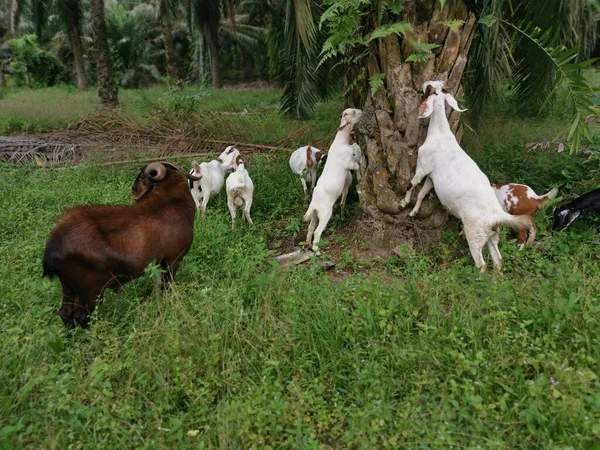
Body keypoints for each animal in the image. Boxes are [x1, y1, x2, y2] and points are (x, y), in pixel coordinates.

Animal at [43, 162, 202, 326]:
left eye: (140, 177)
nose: (133, 190)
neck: (171, 199)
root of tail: (53, 246)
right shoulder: (173, 259)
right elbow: (167, 287)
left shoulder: (158, 262)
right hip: (90, 290)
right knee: (80, 316)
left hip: (69, 286)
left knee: (65, 313)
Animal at [304, 107, 360, 251]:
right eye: (353, 112)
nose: (361, 111)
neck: (341, 142)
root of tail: (314, 203)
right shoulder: (348, 163)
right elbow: (356, 165)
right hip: (325, 214)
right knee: (317, 231)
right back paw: (317, 250)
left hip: (314, 214)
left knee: (310, 228)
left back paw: (308, 244)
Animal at [400, 80, 532, 270]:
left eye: (431, 87)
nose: (423, 84)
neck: (440, 134)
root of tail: (497, 216)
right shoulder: (432, 177)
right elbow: (423, 193)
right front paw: (414, 211)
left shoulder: (423, 166)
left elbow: (412, 184)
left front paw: (403, 203)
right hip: (491, 235)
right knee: (498, 259)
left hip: (475, 234)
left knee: (481, 264)